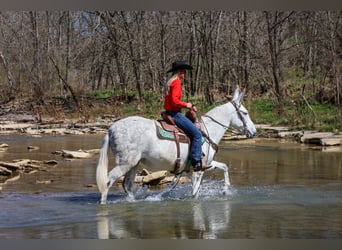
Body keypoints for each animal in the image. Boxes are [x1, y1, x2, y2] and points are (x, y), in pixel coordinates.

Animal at [96, 88, 256, 205]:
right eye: (245, 113)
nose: (254, 132)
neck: (208, 131)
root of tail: (111, 129)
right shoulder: (199, 169)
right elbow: (195, 193)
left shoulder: (203, 165)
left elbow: (224, 167)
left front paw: (225, 189)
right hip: (124, 164)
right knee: (107, 181)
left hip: (133, 165)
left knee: (127, 185)